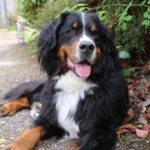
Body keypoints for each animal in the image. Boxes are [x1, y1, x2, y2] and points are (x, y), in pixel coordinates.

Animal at [0, 12, 129, 149]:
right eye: (71, 31)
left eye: (95, 33)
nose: (87, 47)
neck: (75, 83)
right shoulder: (50, 115)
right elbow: (31, 131)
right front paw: (15, 145)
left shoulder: (101, 130)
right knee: (28, 96)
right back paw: (6, 107)